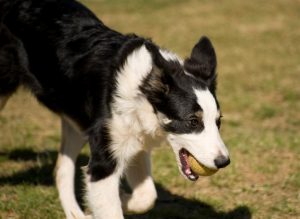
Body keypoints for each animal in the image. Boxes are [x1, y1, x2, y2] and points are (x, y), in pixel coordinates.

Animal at [0, 0, 231, 218]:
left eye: (218, 121)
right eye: (192, 121)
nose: (224, 162)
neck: (142, 89)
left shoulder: (135, 144)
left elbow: (147, 196)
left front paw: (114, 201)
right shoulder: (104, 162)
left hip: (77, 123)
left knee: (61, 170)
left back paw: (76, 214)